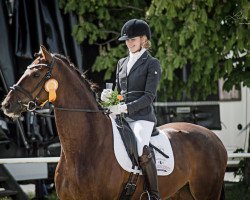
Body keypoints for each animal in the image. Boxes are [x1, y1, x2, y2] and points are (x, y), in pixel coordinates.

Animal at [1, 45, 228, 200]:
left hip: (206, 192)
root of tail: (213, 137)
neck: (83, 148)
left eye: (36, 73)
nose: (6, 104)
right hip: (181, 193)